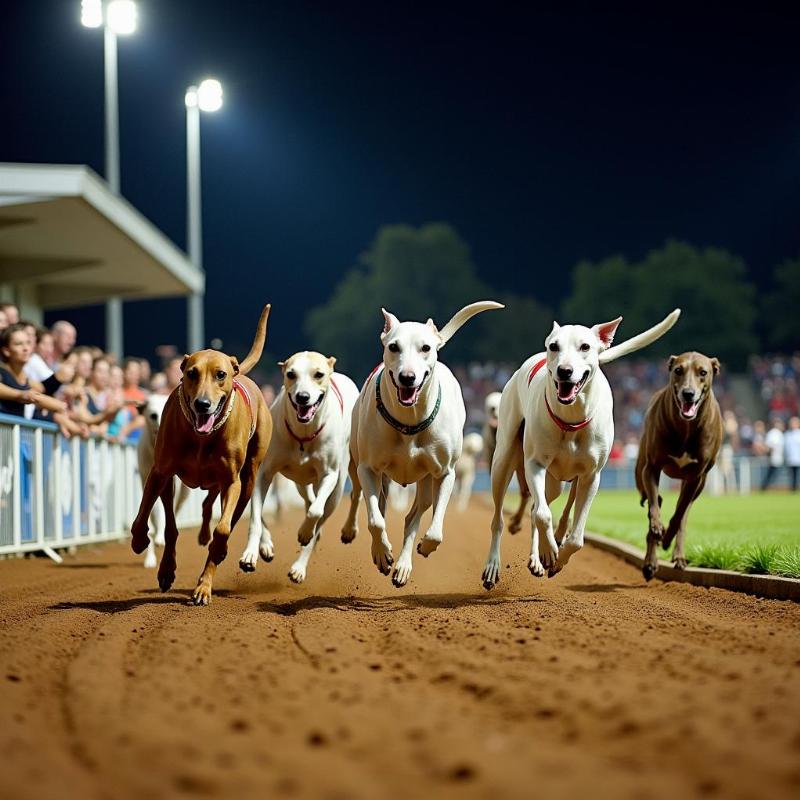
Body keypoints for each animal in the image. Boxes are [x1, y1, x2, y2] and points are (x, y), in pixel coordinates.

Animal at [128, 304, 272, 604]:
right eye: (191, 373)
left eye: (220, 375)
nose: (202, 404)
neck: (201, 436)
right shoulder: (161, 471)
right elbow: (154, 518)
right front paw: (143, 544)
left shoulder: (231, 481)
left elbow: (223, 528)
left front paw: (206, 579)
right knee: (191, 513)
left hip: (248, 477)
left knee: (228, 514)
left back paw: (210, 570)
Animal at [636, 354, 724, 580]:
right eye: (678, 370)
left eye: (703, 372)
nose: (688, 394)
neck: (686, 427)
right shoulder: (651, 467)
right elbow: (654, 506)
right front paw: (657, 528)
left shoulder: (696, 477)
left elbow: (679, 515)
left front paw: (668, 537)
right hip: (640, 471)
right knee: (653, 499)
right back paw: (650, 561)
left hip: (699, 484)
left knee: (683, 512)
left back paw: (677, 554)